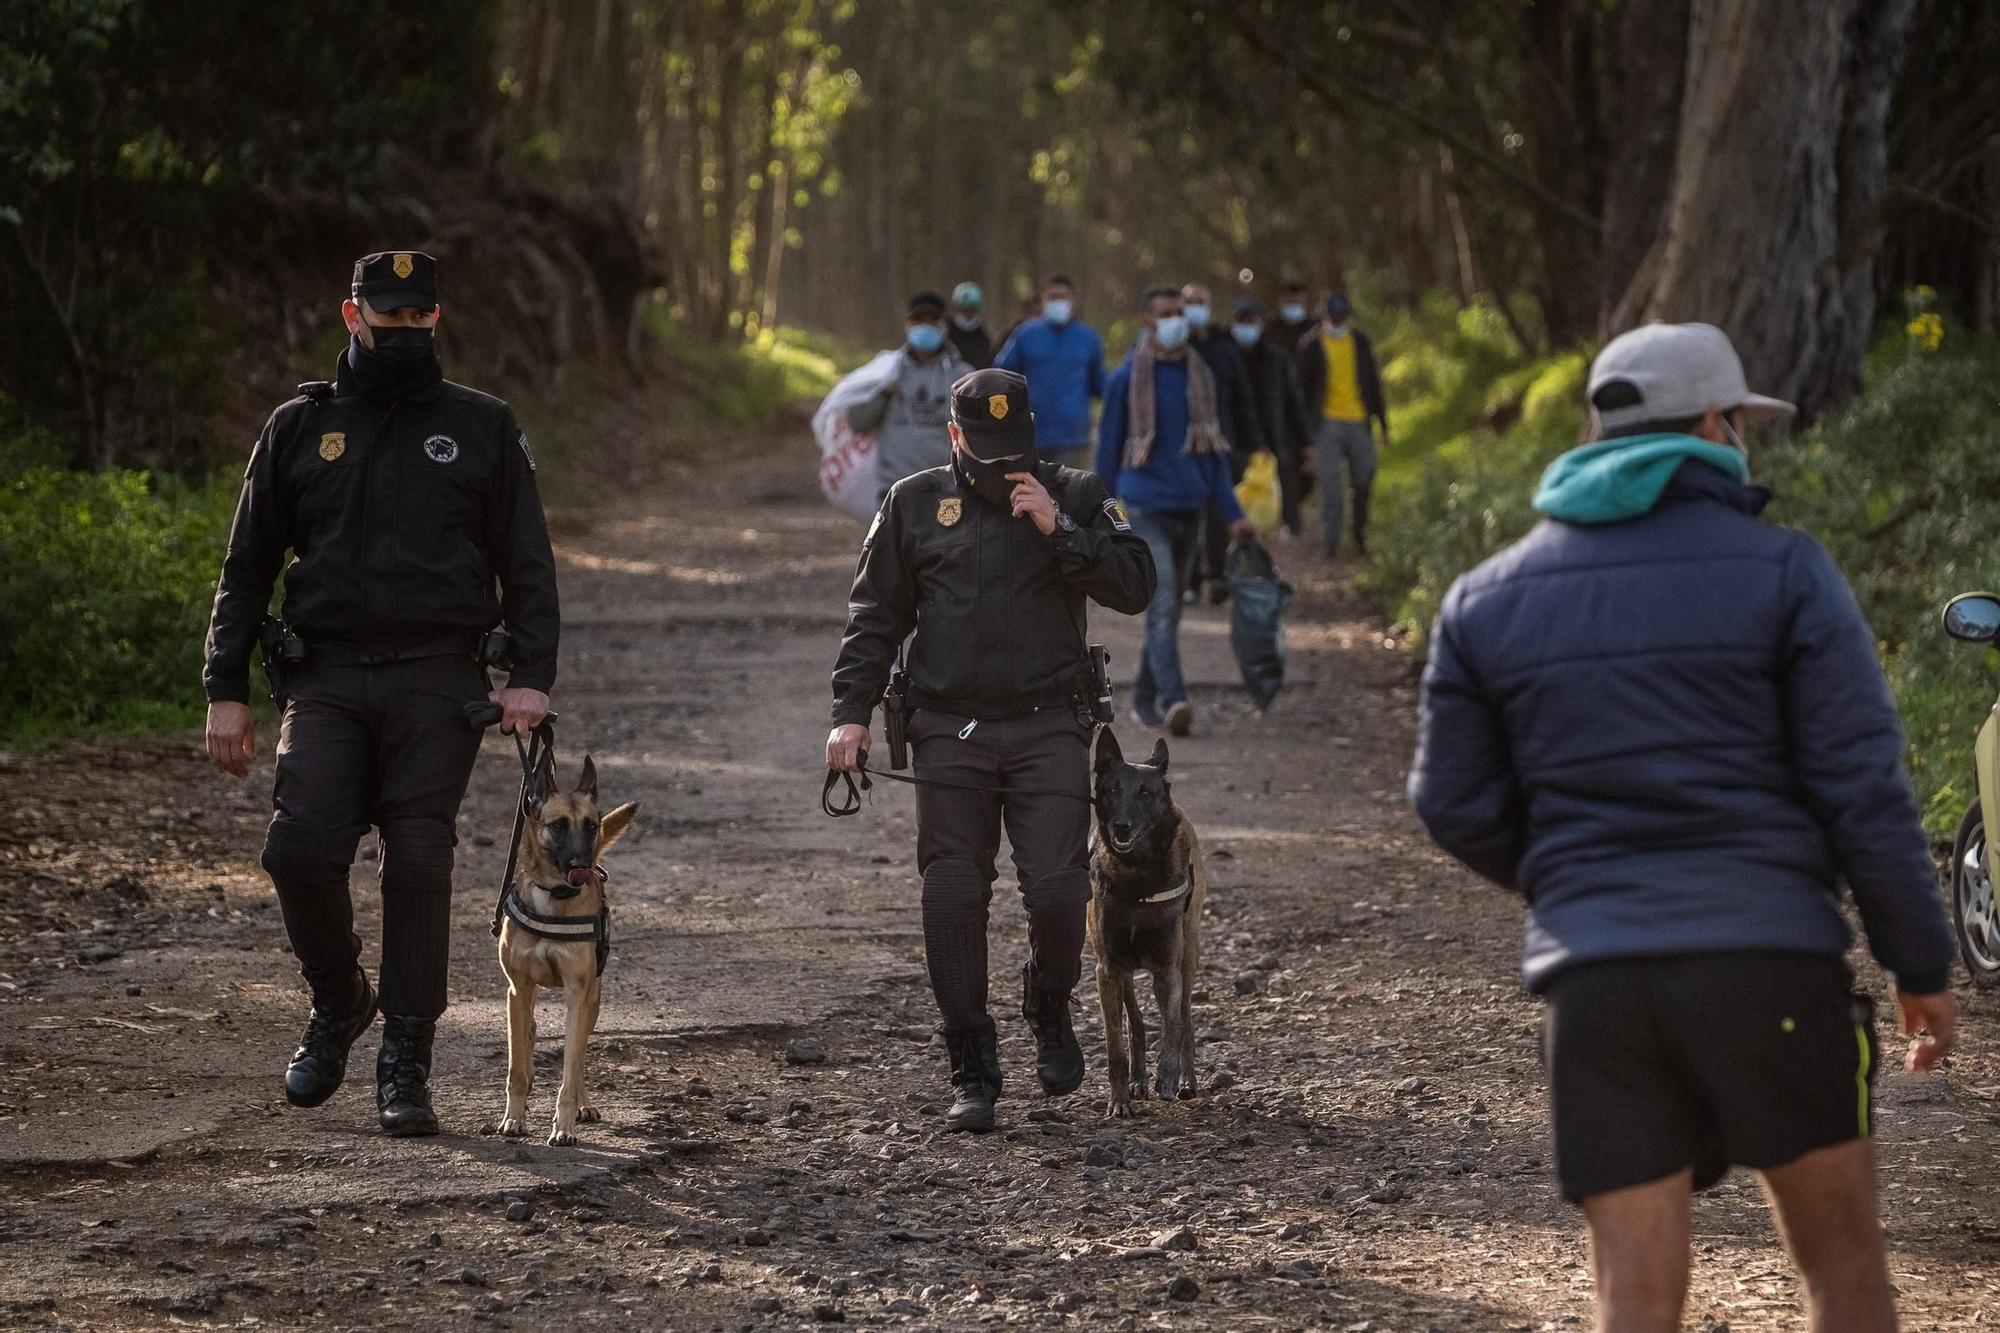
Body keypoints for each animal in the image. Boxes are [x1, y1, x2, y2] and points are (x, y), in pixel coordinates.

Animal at [496, 756, 636, 1144]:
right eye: (557, 825)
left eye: (591, 826)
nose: (581, 866)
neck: (554, 896)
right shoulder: (518, 990)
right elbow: (516, 1069)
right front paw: (513, 1118)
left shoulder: (578, 993)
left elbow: (571, 1070)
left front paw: (564, 1126)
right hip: (524, 1000)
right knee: (528, 1036)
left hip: (592, 1001)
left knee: (580, 1054)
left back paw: (582, 1106)